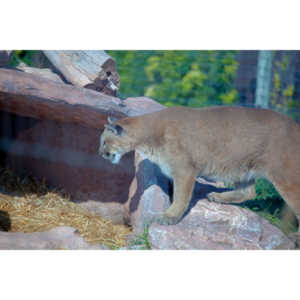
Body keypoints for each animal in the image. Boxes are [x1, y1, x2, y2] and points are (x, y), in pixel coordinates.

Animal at [98, 106, 300, 243]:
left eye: (104, 141)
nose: (100, 153)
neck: (147, 137)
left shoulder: (185, 170)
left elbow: (181, 197)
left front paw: (170, 217)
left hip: (285, 176)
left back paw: (296, 236)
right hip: (241, 167)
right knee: (249, 192)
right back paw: (217, 197)